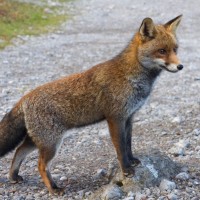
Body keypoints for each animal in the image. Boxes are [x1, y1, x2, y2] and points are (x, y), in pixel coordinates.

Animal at [0, 15, 183, 194]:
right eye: (162, 51)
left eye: (175, 49)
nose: (180, 66)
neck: (131, 75)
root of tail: (25, 97)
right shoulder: (115, 118)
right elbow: (120, 148)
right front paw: (126, 170)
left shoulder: (129, 117)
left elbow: (128, 144)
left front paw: (132, 161)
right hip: (51, 143)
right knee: (40, 165)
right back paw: (54, 189)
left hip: (38, 140)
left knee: (18, 151)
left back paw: (14, 177)